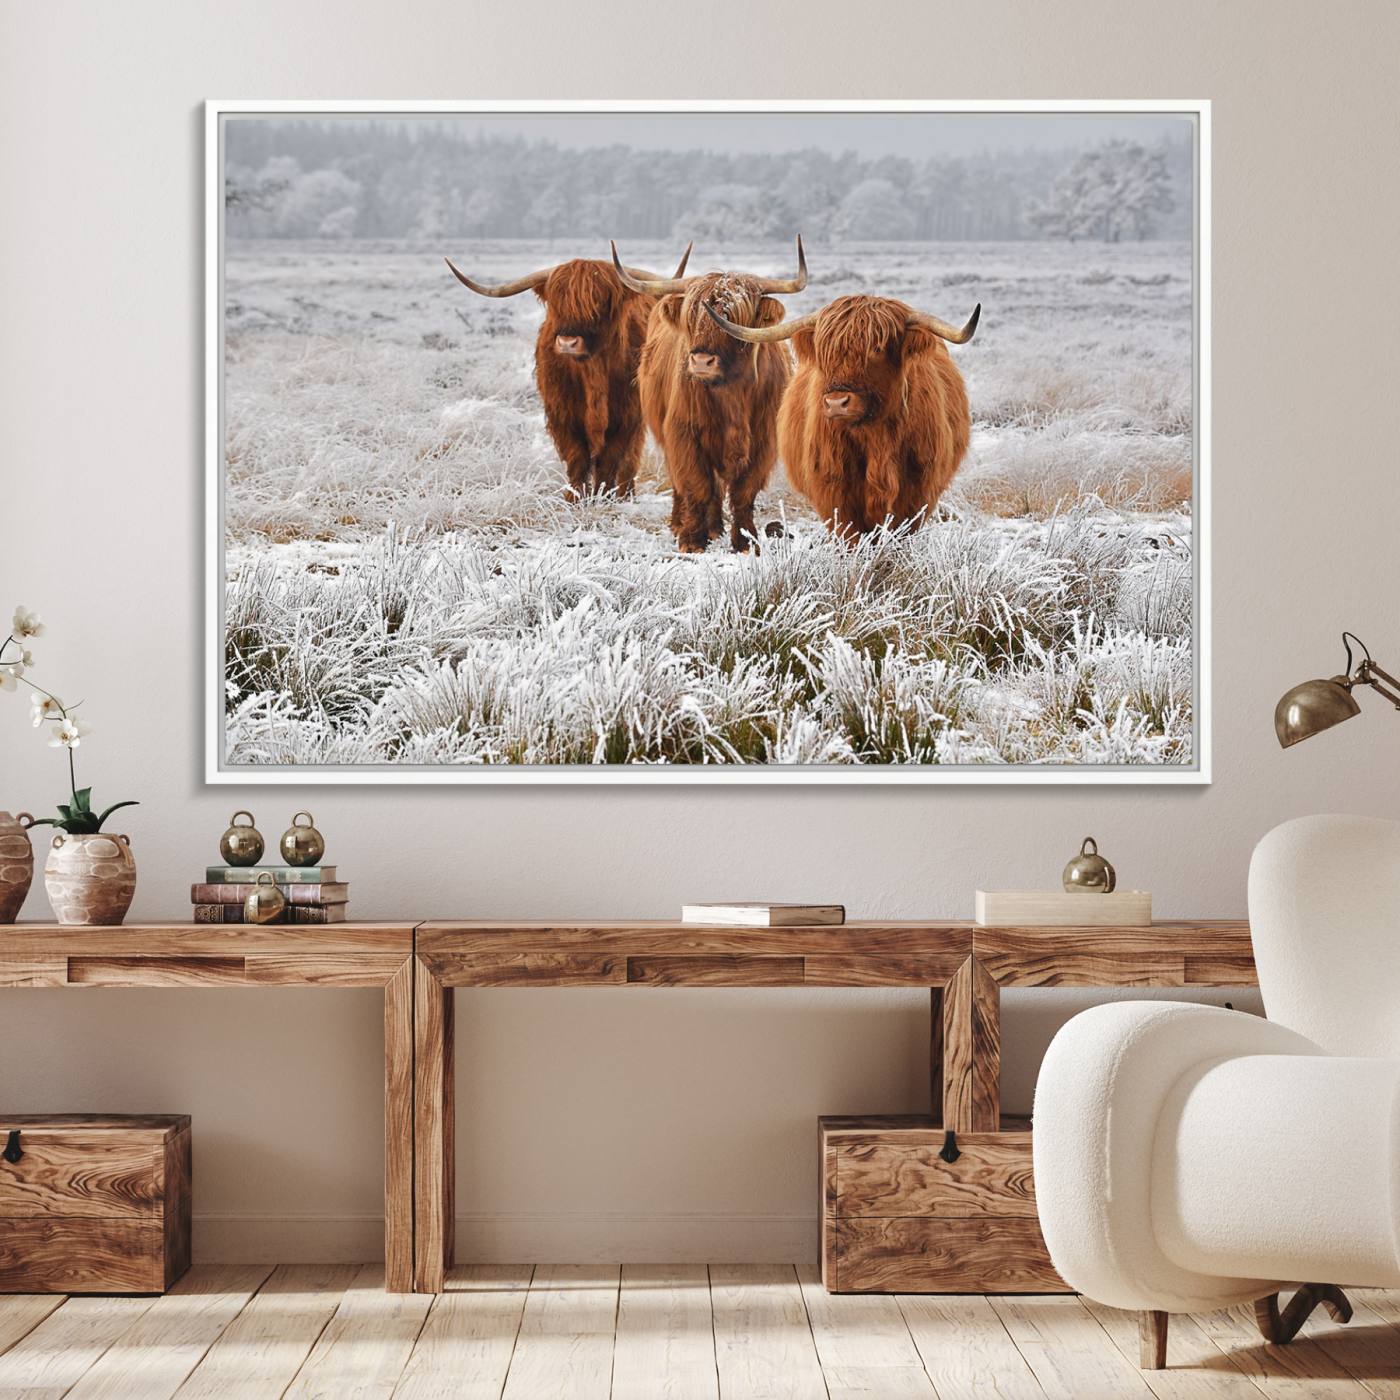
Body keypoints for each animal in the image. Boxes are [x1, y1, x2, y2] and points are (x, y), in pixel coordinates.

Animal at [444, 246, 691, 498]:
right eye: (556, 303)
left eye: (599, 301)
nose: (567, 342)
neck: (592, 372)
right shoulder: (562, 415)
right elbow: (577, 459)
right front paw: (574, 498)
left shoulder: (627, 415)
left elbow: (609, 460)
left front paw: (603, 496)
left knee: (630, 460)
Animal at [610, 238, 807, 553]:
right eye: (691, 317)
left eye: (733, 318)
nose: (701, 361)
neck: (732, 394)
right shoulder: (684, 434)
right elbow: (697, 485)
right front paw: (691, 540)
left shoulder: (763, 442)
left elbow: (743, 492)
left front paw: (746, 541)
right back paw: (684, 524)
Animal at [705, 293, 980, 536]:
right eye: (824, 351)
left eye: (877, 348)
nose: (837, 403)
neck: (876, 438)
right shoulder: (834, 491)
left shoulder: (917, 491)